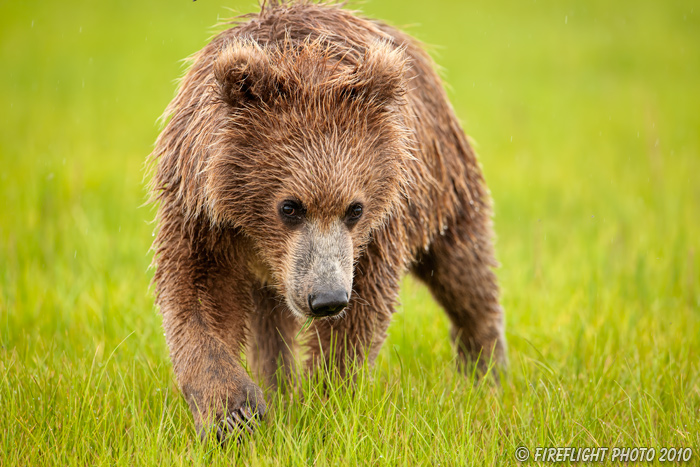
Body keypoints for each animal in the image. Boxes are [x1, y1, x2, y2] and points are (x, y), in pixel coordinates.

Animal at [149, 0, 504, 442]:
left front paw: (326, 402)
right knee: (269, 323)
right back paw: (277, 386)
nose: (327, 298)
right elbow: (197, 295)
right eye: (289, 206)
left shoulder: (375, 232)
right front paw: (234, 412)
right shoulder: (201, 212)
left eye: (355, 208)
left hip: (443, 180)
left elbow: (359, 317)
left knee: (464, 268)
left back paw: (486, 369)